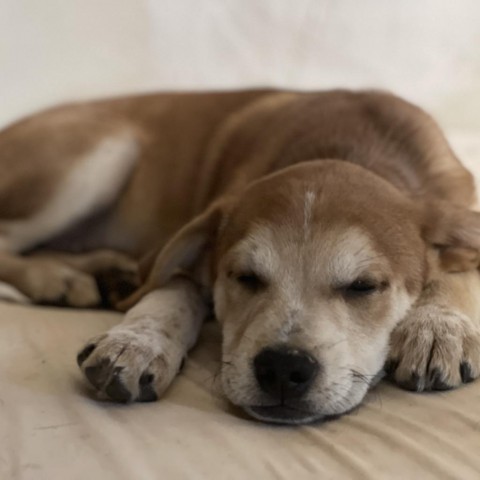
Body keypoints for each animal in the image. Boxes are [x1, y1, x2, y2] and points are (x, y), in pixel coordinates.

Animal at [0, 90, 480, 424]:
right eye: (244, 276)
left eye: (363, 286)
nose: (284, 368)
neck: (350, 145)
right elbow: (173, 291)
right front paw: (137, 340)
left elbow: (457, 273)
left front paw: (437, 326)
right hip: (103, 153)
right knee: (8, 240)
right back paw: (57, 280)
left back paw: (105, 271)